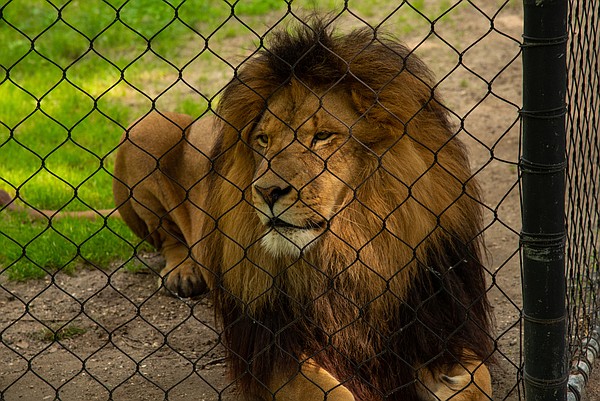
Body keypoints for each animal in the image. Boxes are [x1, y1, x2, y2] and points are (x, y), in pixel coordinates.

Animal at [111, 20, 492, 400]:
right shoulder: (275, 349)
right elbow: (334, 393)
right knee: (169, 239)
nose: (266, 191)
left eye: (322, 136)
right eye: (263, 140)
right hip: (145, 128)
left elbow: (477, 381)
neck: (352, 249)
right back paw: (183, 273)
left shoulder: (435, 324)